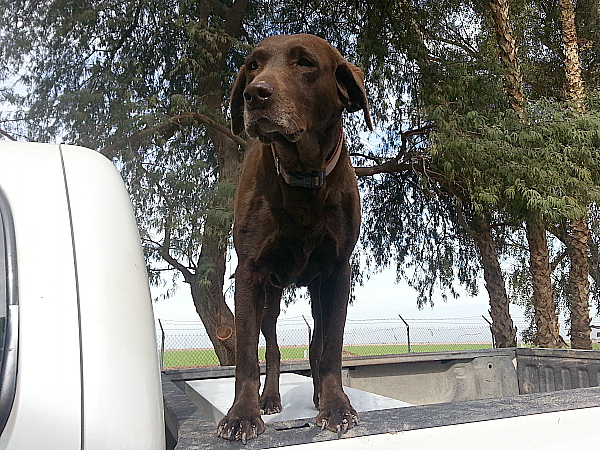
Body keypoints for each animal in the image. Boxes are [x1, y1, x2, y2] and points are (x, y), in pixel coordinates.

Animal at [218, 34, 372, 442]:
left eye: (305, 63)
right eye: (252, 65)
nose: (254, 95)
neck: (302, 175)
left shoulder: (337, 273)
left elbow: (330, 347)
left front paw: (335, 406)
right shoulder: (249, 273)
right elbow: (247, 356)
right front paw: (242, 414)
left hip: (317, 292)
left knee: (316, 344)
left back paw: (318, 395)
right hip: (270, 299)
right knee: (271, 349)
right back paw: (269, 399)